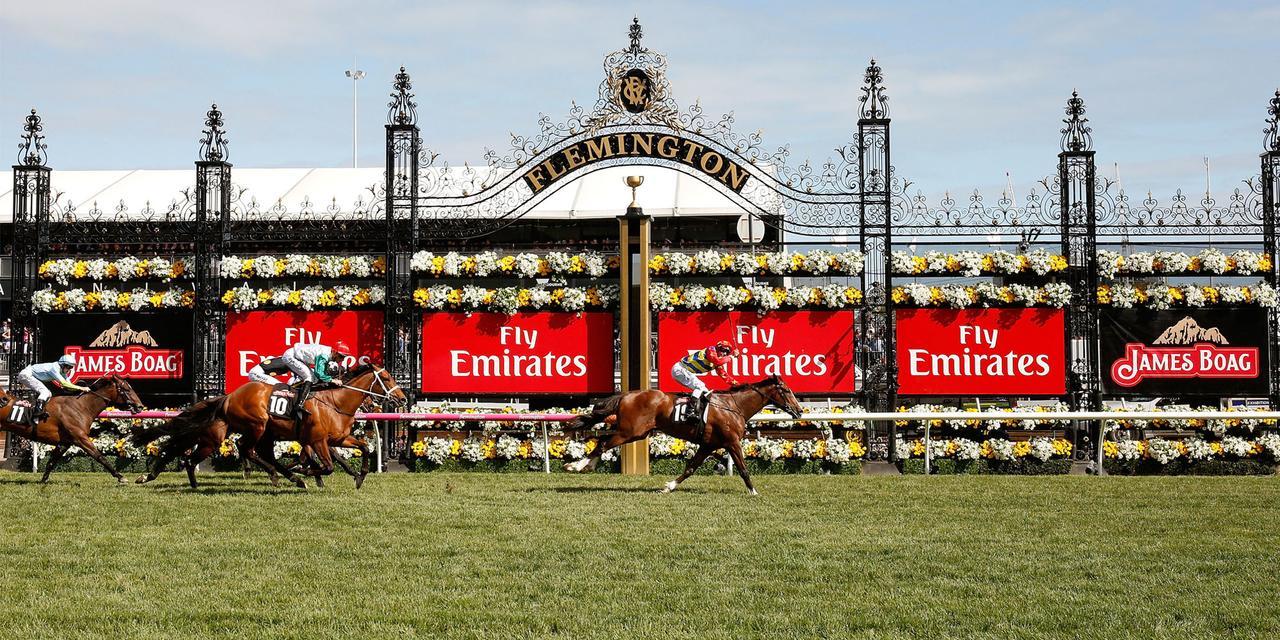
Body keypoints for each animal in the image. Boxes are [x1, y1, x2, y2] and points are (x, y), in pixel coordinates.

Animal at [0, 373, 145, 481]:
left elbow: (52, 461)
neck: (81, 407)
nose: (140, 406)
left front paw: (43, 480)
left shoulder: (65, 442)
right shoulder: (80, 438)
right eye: (126, 389)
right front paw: (120, 476)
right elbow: (99, 456)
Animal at [134, 368, 404, 486]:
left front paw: (360, 475)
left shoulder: (336, 439)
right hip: (256, 426)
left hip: (236, 433)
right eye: (386, 378)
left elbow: (364, 448)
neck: (335, 403)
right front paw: (307, 472)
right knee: (245, 449)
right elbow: (325, 466)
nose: (401, 399)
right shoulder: (317, 440)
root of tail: (228, 397)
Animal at [563, 373, 798, 494]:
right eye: (787, 390)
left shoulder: (709, 444)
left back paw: (585, 465)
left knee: (602, 441)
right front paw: (753, 492)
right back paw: (576, 465)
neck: (733, 406)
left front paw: (669, 486)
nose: (798, 410)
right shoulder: (732, 442)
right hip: (629, 431)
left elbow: (691, 467)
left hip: (636, 433)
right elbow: (743, 468)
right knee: (603, 443)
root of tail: (626, 395)